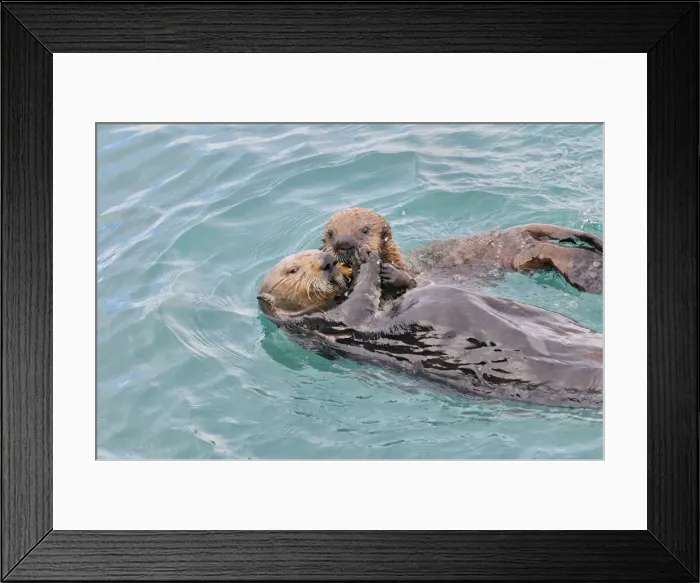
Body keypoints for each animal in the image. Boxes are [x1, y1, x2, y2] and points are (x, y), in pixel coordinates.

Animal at [258, 249, 603, 409]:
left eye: (318, 253)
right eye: (292, 270)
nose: (329, 261)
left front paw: (389, 271)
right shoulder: (329, 322)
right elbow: (360, 304)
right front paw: (368, 260)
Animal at [320, 208, 603, 295]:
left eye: (365, 230)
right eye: (330, 233)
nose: (343, 243)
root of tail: (512, 231)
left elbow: (414, 282)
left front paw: (391, 274)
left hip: (520, 253)